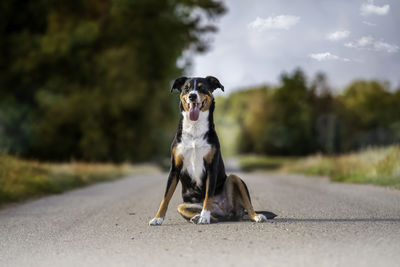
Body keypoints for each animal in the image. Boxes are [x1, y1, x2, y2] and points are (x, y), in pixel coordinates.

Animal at [148, 76, 276, 226]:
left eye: (202, 88)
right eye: (186, 88)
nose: (192, 96)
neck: (195, 129)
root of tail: (227, 211)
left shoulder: (211, 168)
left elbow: (208, 196)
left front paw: (204, 217)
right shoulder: (174, 169)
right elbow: (165, 198)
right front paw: (158, 218)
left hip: (235, 178)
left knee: (247, 205)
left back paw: (255, 216)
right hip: (182, 206)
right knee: (216, 217)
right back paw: (197, 217)